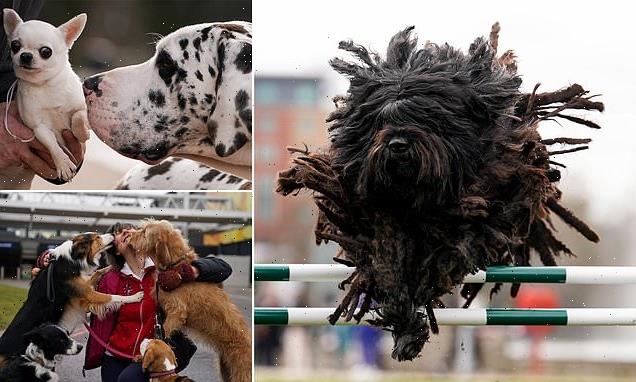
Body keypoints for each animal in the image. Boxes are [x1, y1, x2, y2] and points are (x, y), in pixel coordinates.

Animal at [276, 23, 604, 362]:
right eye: (382, 119)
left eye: (423, 116)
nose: (397, 144)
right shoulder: (371, 216)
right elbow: (385, 266)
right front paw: (404, 322)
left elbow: (442, 260)